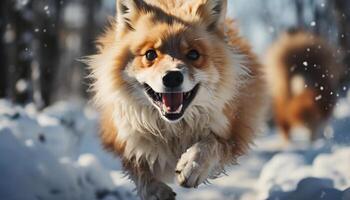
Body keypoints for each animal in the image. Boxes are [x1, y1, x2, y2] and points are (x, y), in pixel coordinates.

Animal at [87, 0, 266, 199]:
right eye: (150, 54)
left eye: (193, 55)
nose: (172, 77)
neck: (173, 131)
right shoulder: (124, 138)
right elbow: (138, 168)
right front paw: (156, 191)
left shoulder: (234, 133)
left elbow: (210, 144)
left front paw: (192, 165)